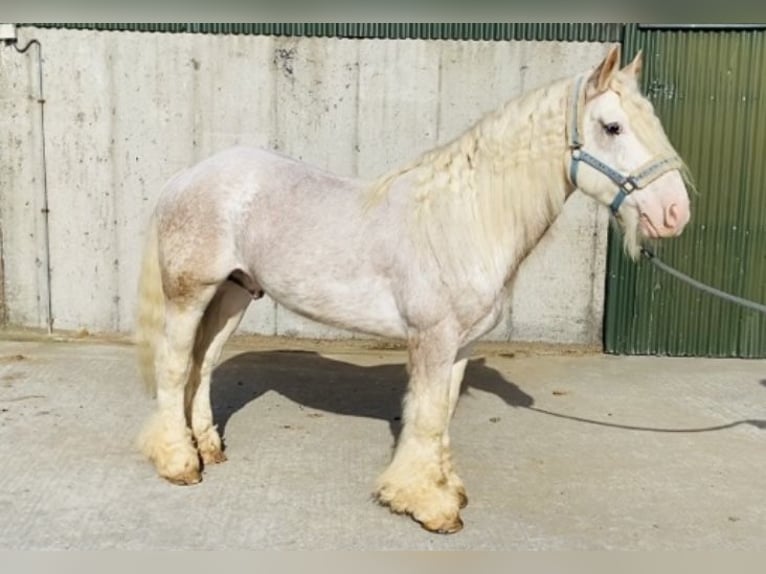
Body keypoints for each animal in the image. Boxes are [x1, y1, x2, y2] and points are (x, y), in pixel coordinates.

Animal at [136, 46, 696, 536]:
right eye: (612, 127)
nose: (675, 213)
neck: (464, 221)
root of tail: (187, 177)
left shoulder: (461, 346)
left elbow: (441, 416)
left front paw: (447, 489)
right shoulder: (432, 338)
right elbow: (424, 417)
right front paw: (426, 506)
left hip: (234, 293)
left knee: (204, 363)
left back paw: (208, 448)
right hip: (191, 293)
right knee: (175, 364)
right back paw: (179, 461)